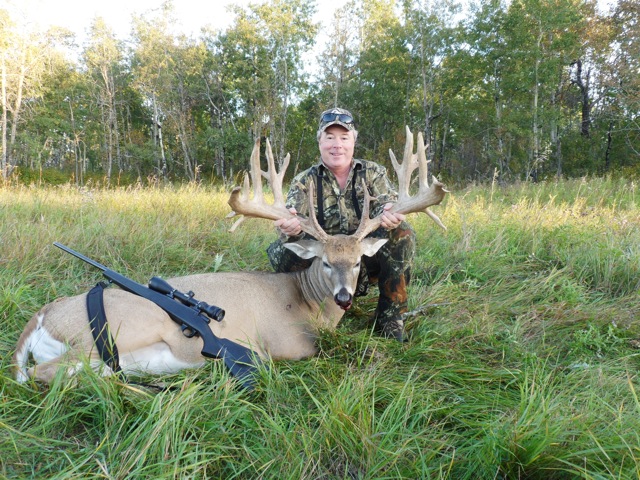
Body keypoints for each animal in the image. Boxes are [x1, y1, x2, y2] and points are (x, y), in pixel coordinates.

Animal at [12, 127, 448, 387]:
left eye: (358, 261)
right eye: (325, 261)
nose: (343, 296)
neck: (306, 304)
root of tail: (40, 317)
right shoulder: (287, 345)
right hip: (121, 328)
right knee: (40, 372)